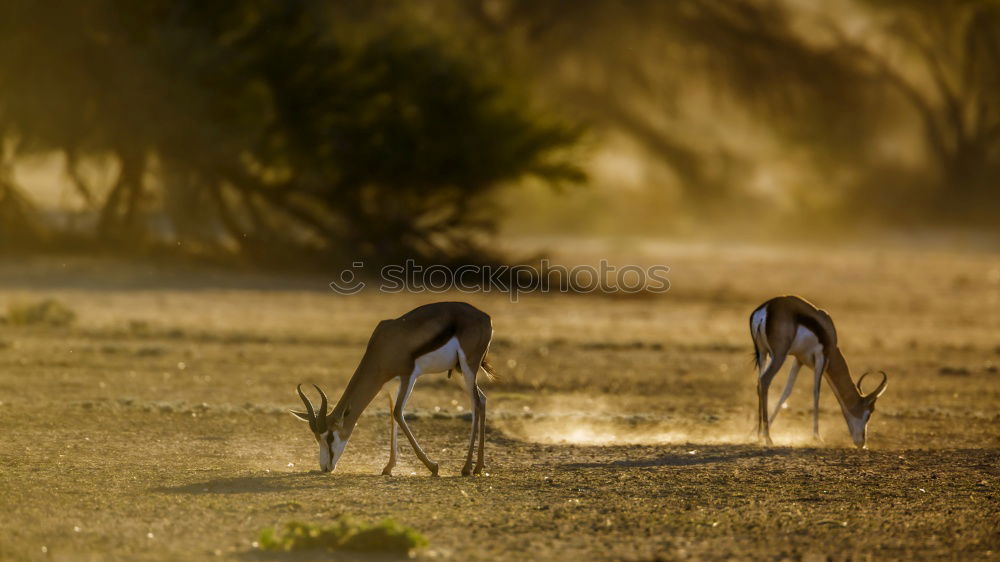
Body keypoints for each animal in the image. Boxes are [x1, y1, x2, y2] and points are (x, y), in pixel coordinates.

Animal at [290, 300, 496, 474]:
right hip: (458, 371)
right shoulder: (390, 386)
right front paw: (388, 468)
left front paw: (433, 466)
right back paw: (478, 466)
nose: (325, 467)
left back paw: (467, 468)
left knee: (475, 404)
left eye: (330, 437)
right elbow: (391, 417)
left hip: (468, 367)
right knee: (482, 400)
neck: (384, 346)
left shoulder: (408, 376)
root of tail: (485, 316)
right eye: (317, 438)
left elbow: (398, 413)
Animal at [752, 294, 892, 446]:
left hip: (763, 354)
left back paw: (758, 434)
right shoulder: (822, 358)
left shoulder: (799, 360)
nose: (862, 443)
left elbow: (786, 391)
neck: (828, 334)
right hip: (779, 356)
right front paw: (817, 437)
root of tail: (765, 309)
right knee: (765, 381)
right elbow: (816, 392)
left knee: (759, 383)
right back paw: (768, 438)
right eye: (869, 414)